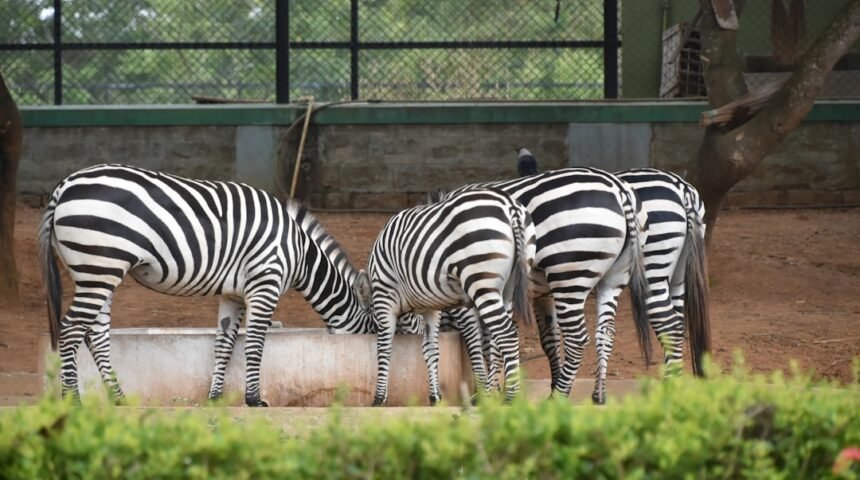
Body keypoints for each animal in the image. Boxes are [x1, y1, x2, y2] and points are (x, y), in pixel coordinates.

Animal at [39, 164, 375, 407]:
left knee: (96, 335)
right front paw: (254, 400)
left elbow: (224, 343)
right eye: (371, 332)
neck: (300, 252)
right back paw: (73, 401)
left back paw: (119, 398)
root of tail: (64, 186)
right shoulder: (265, 282)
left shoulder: (233, 293)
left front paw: (215, 397)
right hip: (99, 265)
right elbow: (255, 343)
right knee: (70, 330)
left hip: (97, 273)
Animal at [354, 188, 537, 405]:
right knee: (500, 340)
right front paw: (435, 397)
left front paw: (379, 397)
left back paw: (511, 400)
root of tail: (510, 207)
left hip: (480, 281)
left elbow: (384, 348)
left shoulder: (385, 297)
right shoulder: (431, 309)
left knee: (506, 335)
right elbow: (431, 350)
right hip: (507, 290)